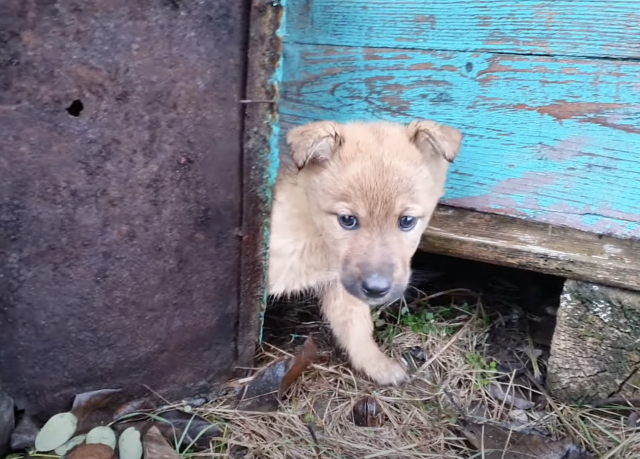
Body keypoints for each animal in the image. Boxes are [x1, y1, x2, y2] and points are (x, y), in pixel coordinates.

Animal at [267, 119, 463, 386]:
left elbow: (357, 327)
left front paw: (378, 366)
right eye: (347, 219)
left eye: (407, 221)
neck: (317, 233)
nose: (376, 289)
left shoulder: (341, 284)